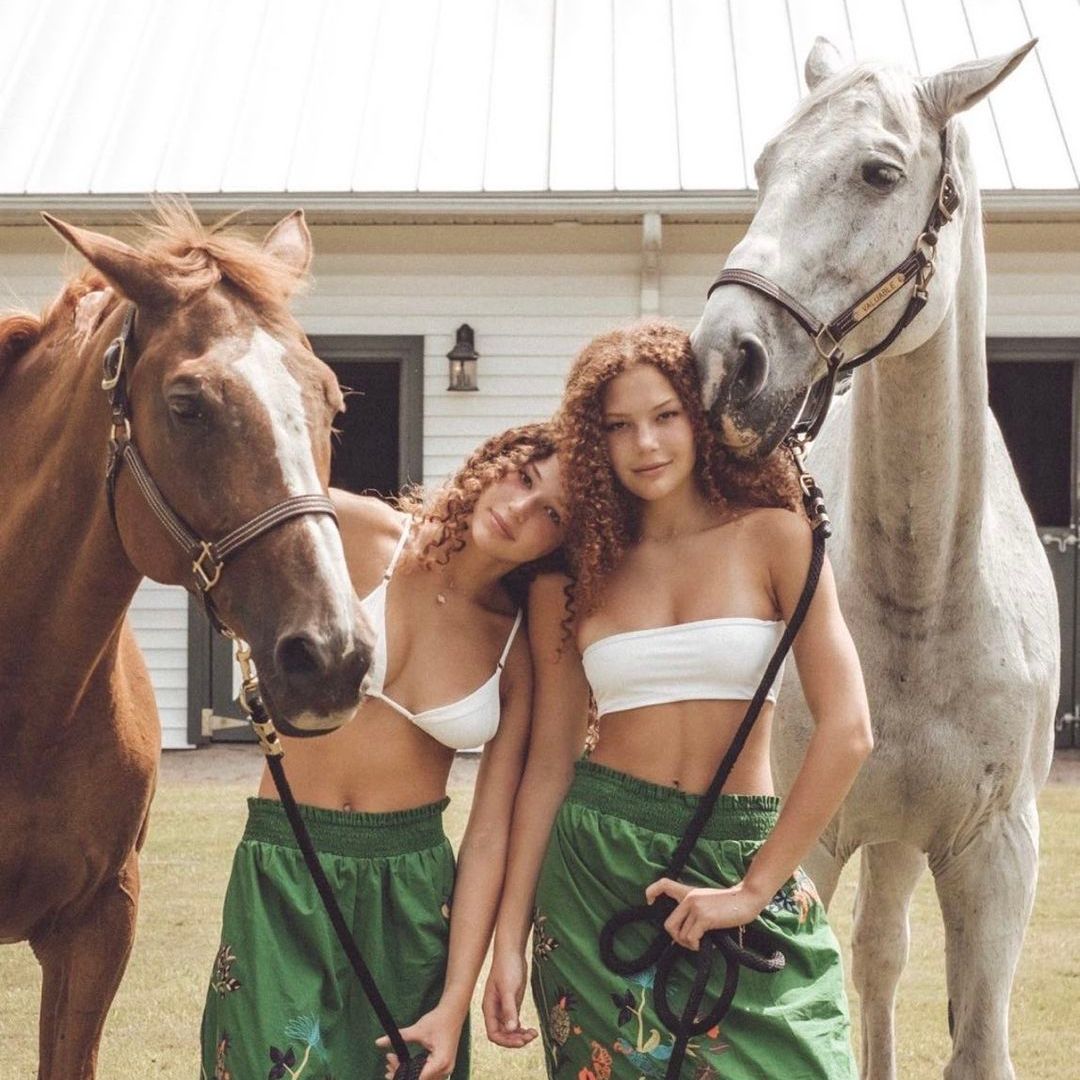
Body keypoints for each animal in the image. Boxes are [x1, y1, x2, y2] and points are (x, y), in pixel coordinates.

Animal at [691, 35, 1054, 1080]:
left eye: (879, 172)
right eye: (765, 166)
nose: (723, 361)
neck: (926, 591)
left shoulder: (998, 855)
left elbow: (976, 1044)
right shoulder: (799, 844)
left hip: (902, 841)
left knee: (883, 959)